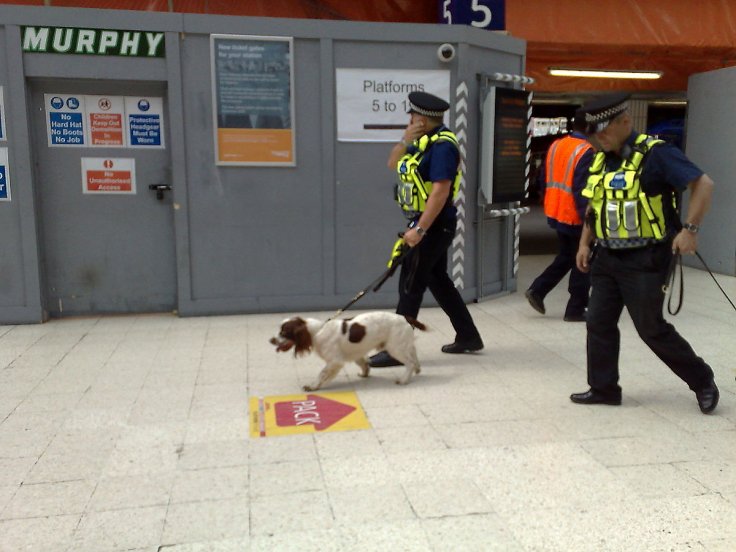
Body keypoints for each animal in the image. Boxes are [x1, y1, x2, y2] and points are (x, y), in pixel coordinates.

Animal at [270, 310, 426, 392]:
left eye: (284, 332)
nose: (271, 340)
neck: (317, 331)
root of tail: (404, 317)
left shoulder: (335, 361)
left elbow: (322, 374)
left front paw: (313, 386)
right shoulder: (355, 353)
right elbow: (363, 363)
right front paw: (364, 374)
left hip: (395, 348)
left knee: (410, 363)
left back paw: (404, 380)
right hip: (402, 345)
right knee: (414, 354)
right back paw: (417, 369)